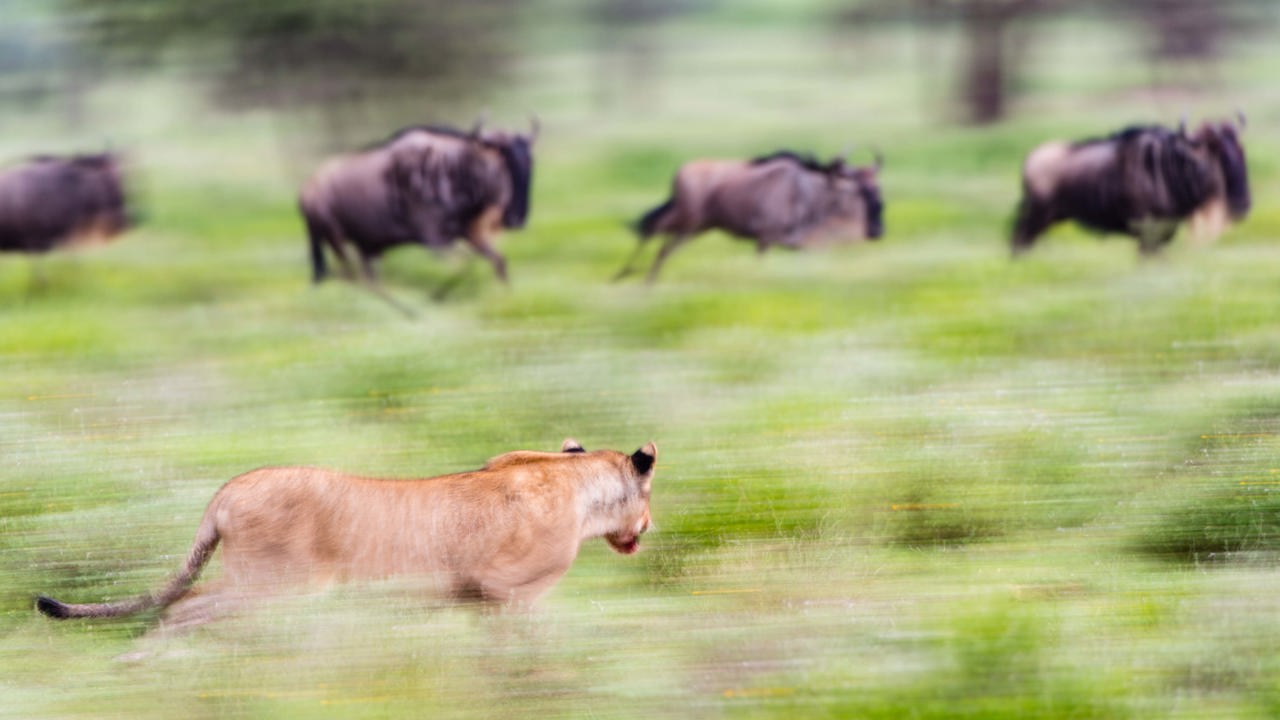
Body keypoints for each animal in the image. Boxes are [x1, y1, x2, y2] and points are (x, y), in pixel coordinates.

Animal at [35, 439, 656, 628]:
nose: (646, 528)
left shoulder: (479, 596)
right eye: (650, 499)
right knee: (187, 607)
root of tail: (226, 491)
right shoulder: (509, 592)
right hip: (276, 585)